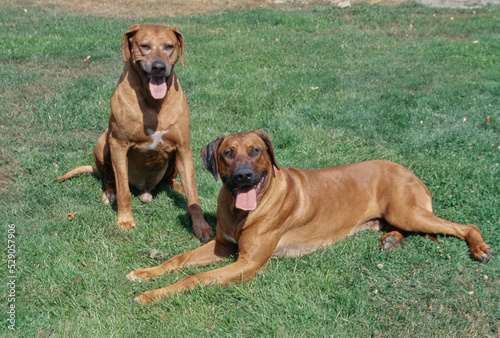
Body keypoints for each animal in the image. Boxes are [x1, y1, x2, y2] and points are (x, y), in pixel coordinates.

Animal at [56, 23, 213, 242]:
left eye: (169, 46)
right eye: (144, 46)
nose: (158, 67)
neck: (154, 102)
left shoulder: (183, 148)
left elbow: (194, 196)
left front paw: (201, 226)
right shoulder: (119, 145)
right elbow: (123, 190)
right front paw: (124, 220)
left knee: (172, 180)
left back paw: (178, 188)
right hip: (103, 143)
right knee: (109, 177)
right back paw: (109, 193)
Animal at [126, 129, 492, 304]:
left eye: (256, 151)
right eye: (227, 153)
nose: (244, 176)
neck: (241, 209)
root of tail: (409, 171)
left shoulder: (247, 263)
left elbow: (194, 278)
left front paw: (151, 295)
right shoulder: (223, 246)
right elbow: (179, 259)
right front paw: (145, 273)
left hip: (407, 210)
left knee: (464, 224)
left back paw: (479, 247)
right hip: (400, 215)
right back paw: (390, 240)